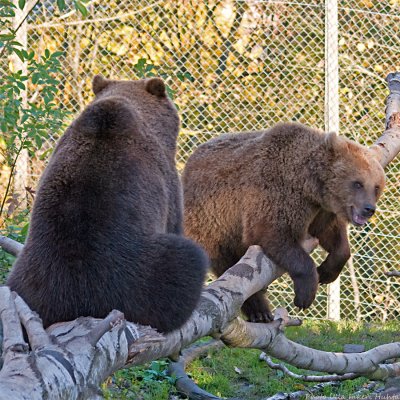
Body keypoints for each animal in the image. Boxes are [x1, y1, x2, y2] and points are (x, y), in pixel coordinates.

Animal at [183, 122, 386, 322]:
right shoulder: (277, 191)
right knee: (228, 266)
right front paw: (305, 294)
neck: (311, 186)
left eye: (376, 187)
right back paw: (260, 312)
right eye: (358, 183)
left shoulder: (321, 211)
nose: (369, 209)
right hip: (211, 221)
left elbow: (333, 238)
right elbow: (272, 233)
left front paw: (326, 272)